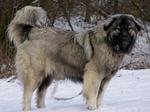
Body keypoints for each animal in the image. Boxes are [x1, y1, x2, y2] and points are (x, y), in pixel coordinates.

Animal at [7, 5, 142, 110]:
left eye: (129, 28)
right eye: (118, 29)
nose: (124, 40)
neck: (109, 43)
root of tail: (31, 32)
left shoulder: (105, 79)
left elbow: (100, 95)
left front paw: (98, 107)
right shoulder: (94, 75)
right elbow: (93, 93)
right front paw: (92, 107)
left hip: (47, 77)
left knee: (40, 93)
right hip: (35, 75)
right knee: (27, 95)